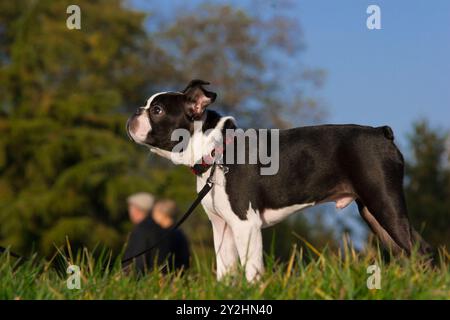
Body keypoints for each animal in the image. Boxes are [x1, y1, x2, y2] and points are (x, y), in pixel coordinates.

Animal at [125, 79, 428, 280]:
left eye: (157, 111)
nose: (135, 111)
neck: (215, 150)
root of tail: (381, 132)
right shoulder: (222, 226)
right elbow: (226, 270)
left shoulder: (245, 225)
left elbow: (251, 269)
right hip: (372, 212)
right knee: (406, 252)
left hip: (384, 203)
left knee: (419, 248)